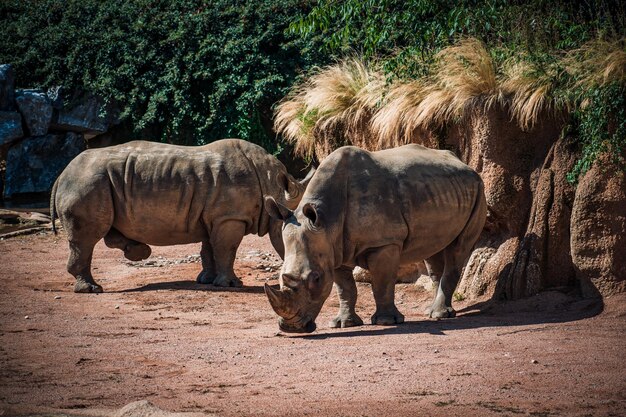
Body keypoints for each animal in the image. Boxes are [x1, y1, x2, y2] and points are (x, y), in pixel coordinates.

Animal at [50, 138, 310, 290]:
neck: (272, 186)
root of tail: (61, 175)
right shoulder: (229, 217)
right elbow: (226, 249)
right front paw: (232, 284)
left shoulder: (215, 217)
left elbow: (210, 249)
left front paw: (207, 280)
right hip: (87, 183)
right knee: (86, 239)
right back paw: (92, 288)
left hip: (94, 183)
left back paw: (137, 252)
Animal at [260, 145, 486, 334]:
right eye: (281, 276)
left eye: (315, 278)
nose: (291, 329)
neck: (326, 218)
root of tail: (465, 164)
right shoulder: (333, 248)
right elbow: (345, 288)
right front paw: (344, 324)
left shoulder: (384, 243)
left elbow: (382, 283)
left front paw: (386, 322)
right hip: (440, 190)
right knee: (433, 249)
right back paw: (432, 312)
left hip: (479, 190)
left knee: (459, 249)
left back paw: (440, 314)